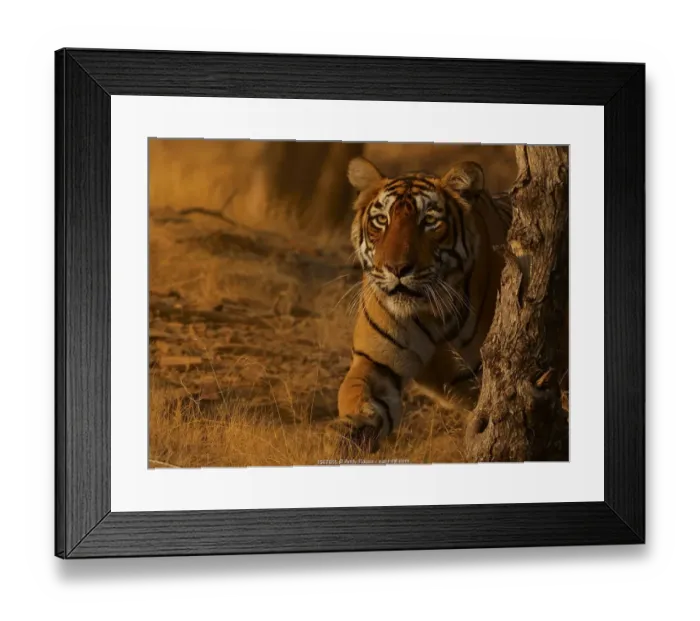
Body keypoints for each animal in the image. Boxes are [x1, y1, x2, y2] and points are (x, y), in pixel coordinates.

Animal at [328, 156, 513, 454]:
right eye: (381, 220)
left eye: (429, 221)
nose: (396, 268)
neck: (432, 312)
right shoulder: (376, 362)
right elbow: (357, 393)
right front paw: (353, 428)